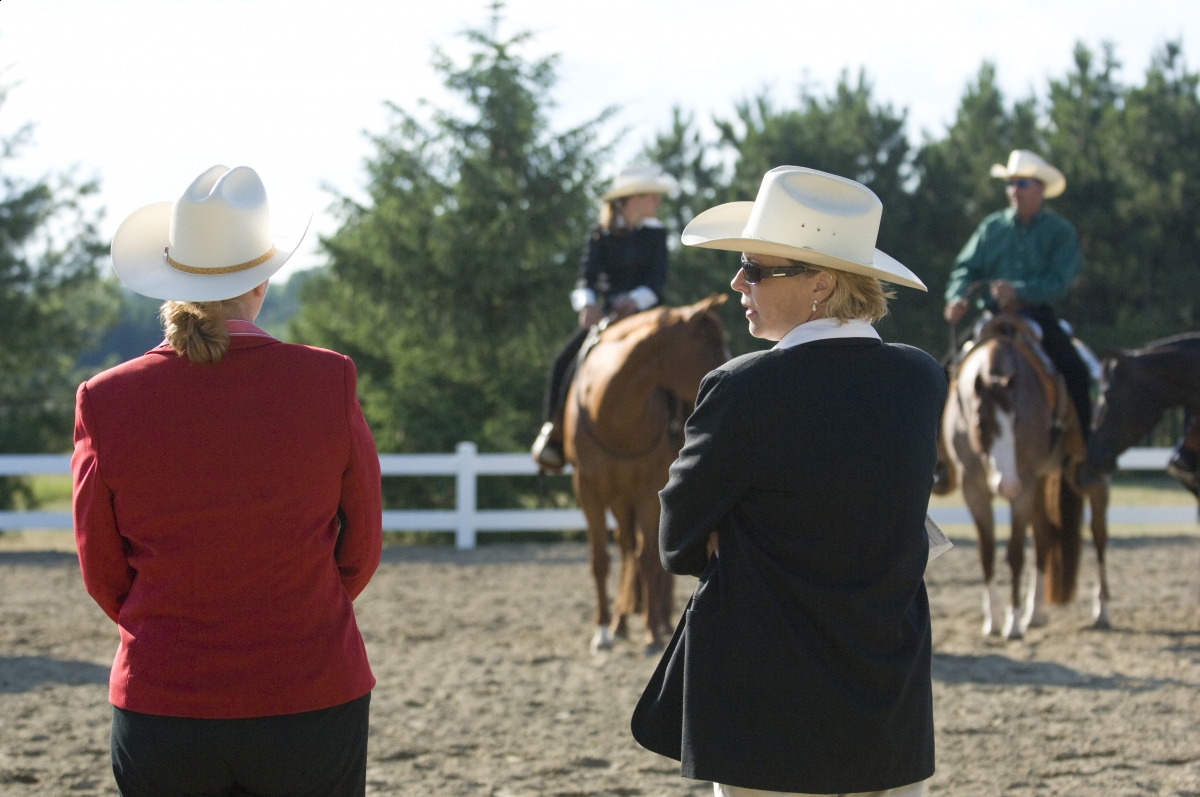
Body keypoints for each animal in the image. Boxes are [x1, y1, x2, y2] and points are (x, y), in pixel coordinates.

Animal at [563, 294, 729, 655]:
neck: (612, 414)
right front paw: (603, 629)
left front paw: (653, 631)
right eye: (708, 348)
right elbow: (601, 559)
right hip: (619, 497)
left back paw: (661, 620)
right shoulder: (589, 489)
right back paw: (621, 621)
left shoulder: (651, 490)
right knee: (626, 549)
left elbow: (650, 558)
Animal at [943, 314, 1112, 639]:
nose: (1006, 484)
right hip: (1041, 482)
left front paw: (1012, 622)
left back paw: (1101, 611)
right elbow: (986, 553)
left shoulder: (1024, 487)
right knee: (1044, 538)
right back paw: (1036, 613)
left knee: (1098, 536)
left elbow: (1015, 553)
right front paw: (994, 620)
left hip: (1083, 481)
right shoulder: (973, 489)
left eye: (1017, 420)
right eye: (981, 423)